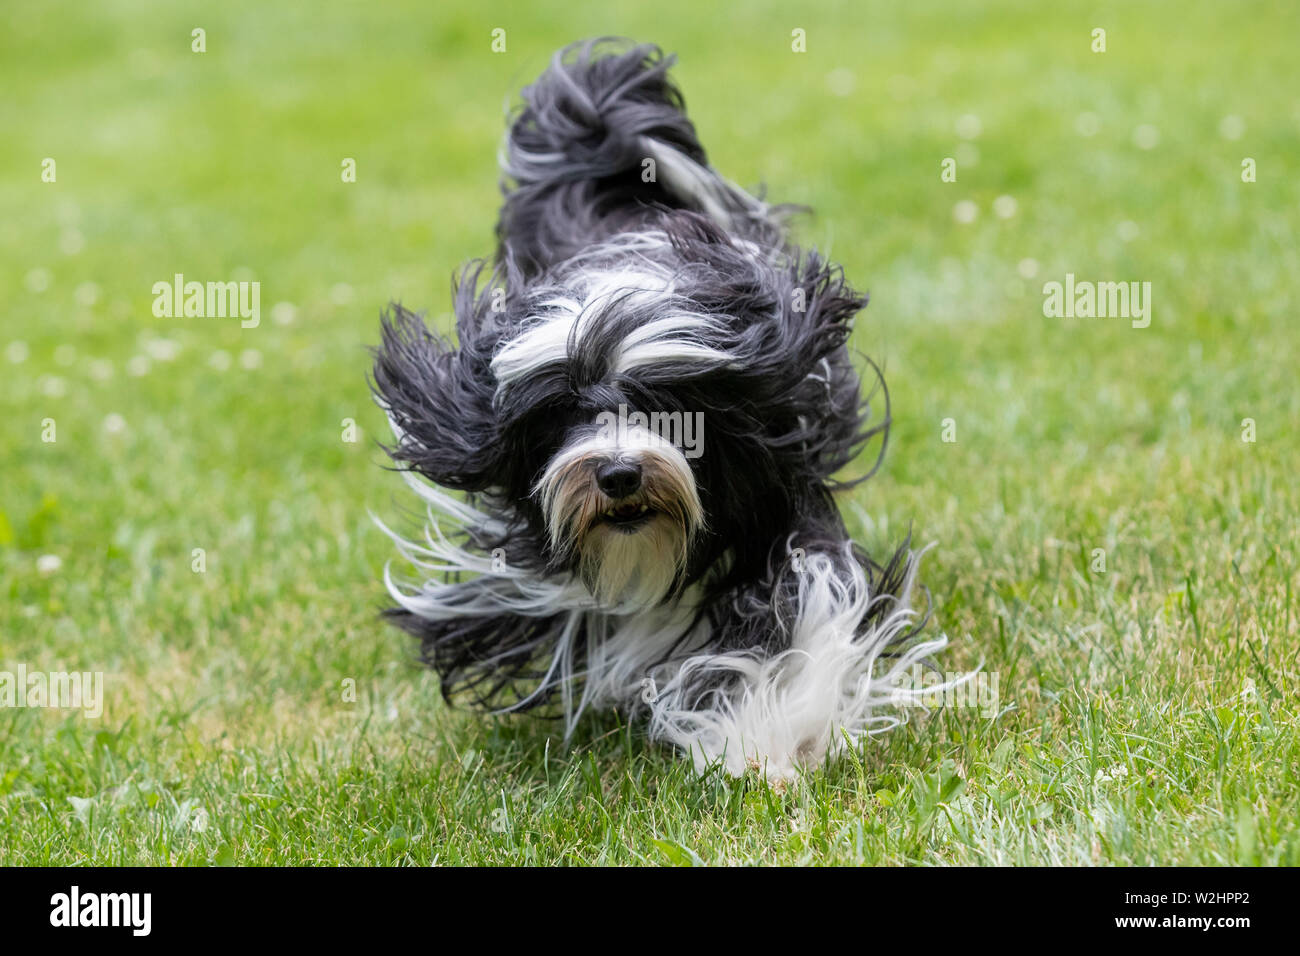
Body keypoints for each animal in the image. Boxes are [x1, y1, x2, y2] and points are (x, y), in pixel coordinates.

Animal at [371, 39, 951, 785]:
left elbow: (799, 617)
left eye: (669, 409)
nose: (619, 475)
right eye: (563, 413)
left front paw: (767, 736)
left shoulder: (785, 508)